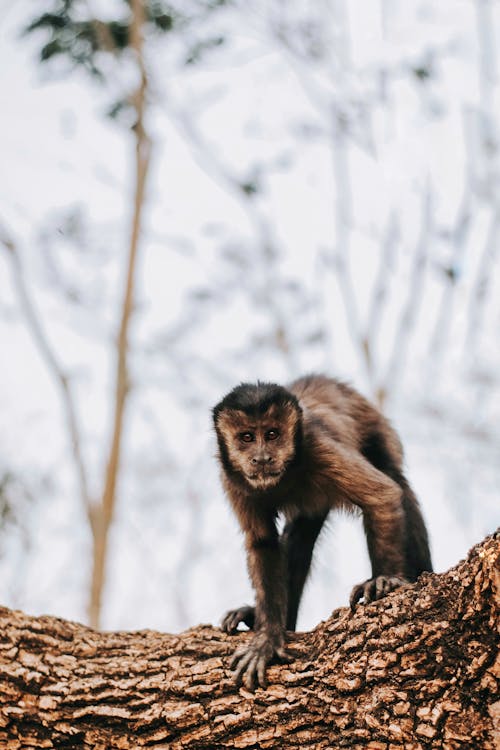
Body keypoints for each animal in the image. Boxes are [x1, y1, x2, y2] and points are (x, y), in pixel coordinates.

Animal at [213, 376, 432, 692]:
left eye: (272, 434)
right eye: (246, 437)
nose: (262, 458)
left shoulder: (319, 447)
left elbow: (382, 494)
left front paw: (384, 580)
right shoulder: (232, 478)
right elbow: (263, 545)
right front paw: (267, 637)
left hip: (378, 430)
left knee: (396, 480)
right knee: (300, 536)